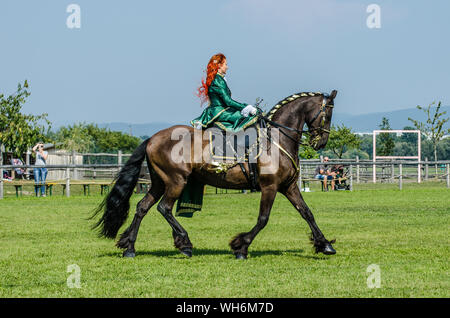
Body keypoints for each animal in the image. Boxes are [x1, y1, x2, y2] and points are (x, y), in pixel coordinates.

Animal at [91, 89, 338, 258]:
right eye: (327, 115)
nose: (321, 142)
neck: (277, 139)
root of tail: (152, 138)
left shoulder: (289, 186)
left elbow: (307, 213)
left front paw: (325, 244)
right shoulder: (270, 187)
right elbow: (263, 219)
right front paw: (240, 246)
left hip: (160, 182)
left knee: (143, 207)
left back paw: (129, 247)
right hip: (176, 181)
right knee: (164, 208)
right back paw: (185, 244)